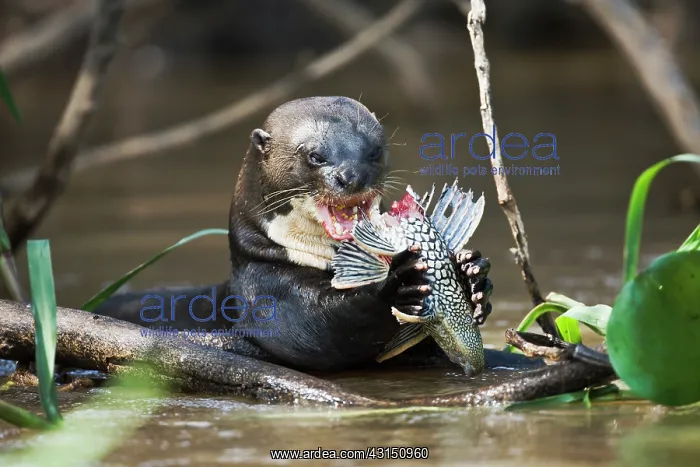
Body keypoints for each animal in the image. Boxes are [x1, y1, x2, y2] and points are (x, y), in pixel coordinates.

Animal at [95, 96, 494, 372]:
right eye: (315, 156)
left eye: (374, 151)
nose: (351, 176)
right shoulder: (266, 292)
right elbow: (313, 333)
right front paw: (395, 286)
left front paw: (472, 274)